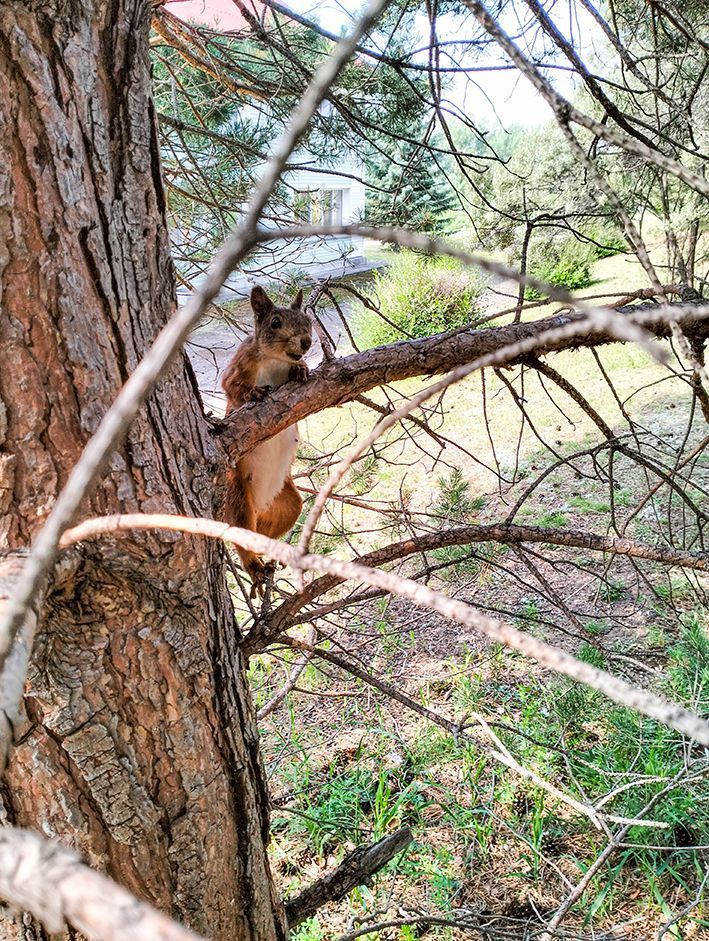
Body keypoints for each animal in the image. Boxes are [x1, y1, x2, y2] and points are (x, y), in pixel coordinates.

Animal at [220, 282, 312, 592]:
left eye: (308, 320)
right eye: (275, 322)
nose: (307, 342)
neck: (275, 360)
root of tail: (258, 506)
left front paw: (301, 369)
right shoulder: (239, 364)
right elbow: (232, 388)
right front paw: (254, 393)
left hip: (287, 503)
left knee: (266, 530)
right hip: (236, 496)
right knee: (242, 538)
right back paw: (255, 567)